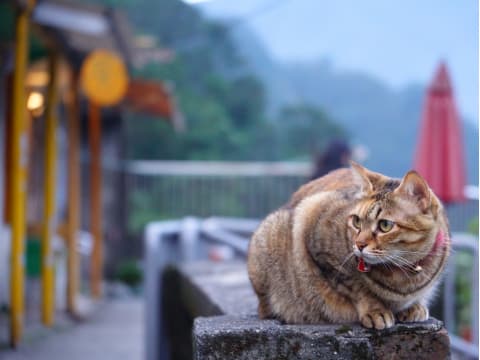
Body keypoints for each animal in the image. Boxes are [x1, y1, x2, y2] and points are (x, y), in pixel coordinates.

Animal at [248, 163, 450, 330]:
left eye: (385, 225)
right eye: (356, 221)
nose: (359, 244)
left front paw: (414, 306)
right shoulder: (314, 228)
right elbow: (356, 287)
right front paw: (375, 310)